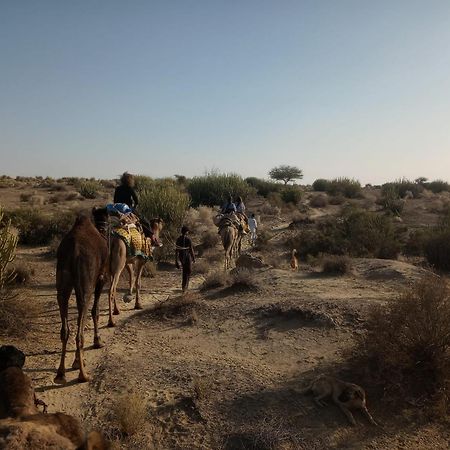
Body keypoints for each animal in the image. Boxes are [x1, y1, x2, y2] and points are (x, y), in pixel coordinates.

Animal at [53, 208, 107, 384]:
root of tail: (74, 251)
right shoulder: (101, 277)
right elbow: (95, 311)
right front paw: (97, 342)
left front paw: (77, 360)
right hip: (86, 282)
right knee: (80, 327)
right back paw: (83, 375)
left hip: (63, 280)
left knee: (65, 328)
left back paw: (60, 374)